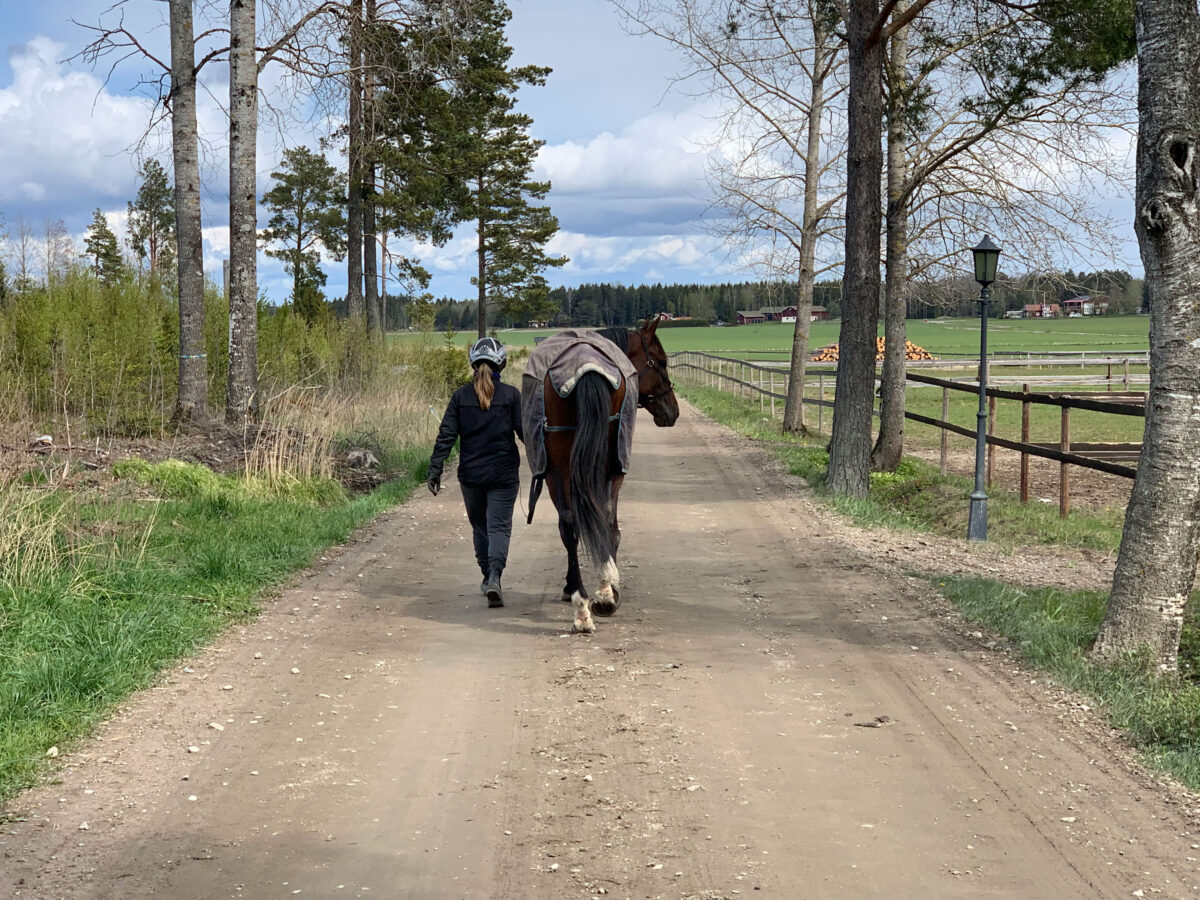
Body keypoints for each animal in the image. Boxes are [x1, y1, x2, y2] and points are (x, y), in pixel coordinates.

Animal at [542, 321, 681, 638]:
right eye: (661, 362)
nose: (674, 411)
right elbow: (610, 526)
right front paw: (609, 589)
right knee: (600, 520)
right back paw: (599, 598)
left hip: (559, 469)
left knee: (571, 524)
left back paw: (584, 604)